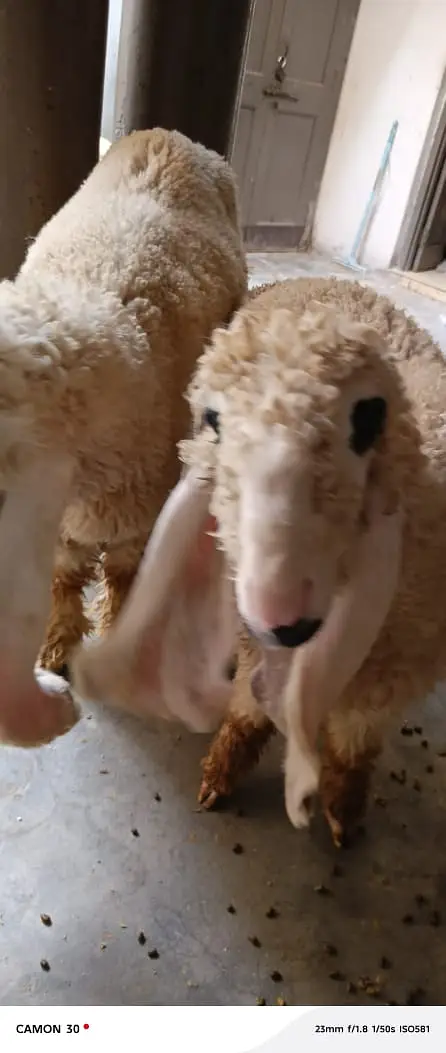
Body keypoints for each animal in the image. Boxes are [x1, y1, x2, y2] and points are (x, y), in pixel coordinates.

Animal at [0, 127, 246, 749]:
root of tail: (167, 135)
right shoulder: (64, 521)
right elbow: (64, 579)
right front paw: (58, 644)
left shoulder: (131, 519)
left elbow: (122, 579)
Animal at [71, 275, 446, 846]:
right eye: (213, 421)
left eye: (369, 418)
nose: (282, 619)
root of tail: (328, 280)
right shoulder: (257, 650)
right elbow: (247, 714)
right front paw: (220, 775)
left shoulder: (393, 674)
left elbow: (355, 741)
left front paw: (344, 808)